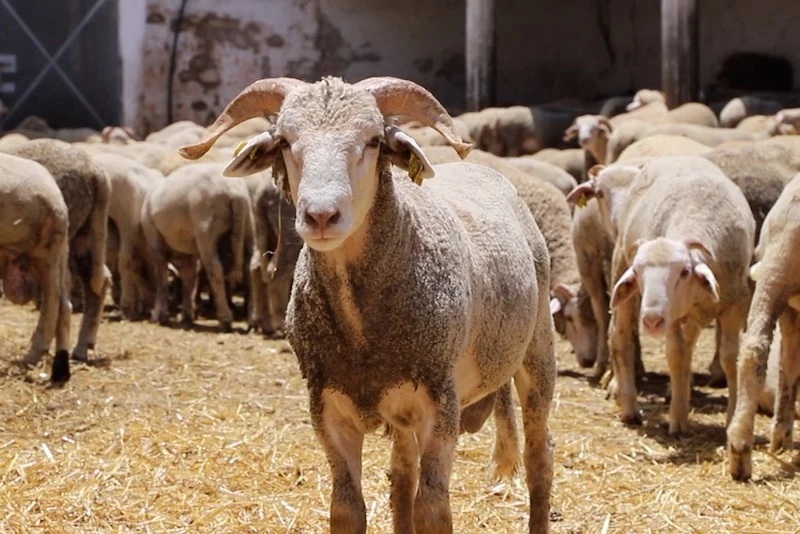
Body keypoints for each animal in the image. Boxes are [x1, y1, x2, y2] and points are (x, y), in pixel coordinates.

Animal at [2, 139, 111, 363]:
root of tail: (96, 170)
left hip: (63, 234)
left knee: (63, 287)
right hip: (85, 232)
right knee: (97, 280)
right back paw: (82, 348)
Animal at [92, 153, 165, 320]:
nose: (150, 302)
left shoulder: (126, 226)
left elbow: (127, 262)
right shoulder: (127, 224)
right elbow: (126, 262)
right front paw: (129, 304)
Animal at [140, 162, 254, 332]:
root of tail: (235, 193)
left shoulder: (154, 236)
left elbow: (161, 276)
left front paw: (159, 316)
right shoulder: (186, 246)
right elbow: (188, 276)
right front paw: (187, 317)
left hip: (206, 225)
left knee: (215, 269)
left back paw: (225, 319)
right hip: (247, 222)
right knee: (249, 267)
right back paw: (253, 320)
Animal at [178, 76, 556, 533]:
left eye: (374, 140)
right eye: (284, 141)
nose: (321, 216)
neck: (362, 332)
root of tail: (478, 168)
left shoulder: (440, 405)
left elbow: (434, 510)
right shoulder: (328, 407)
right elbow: (347, 508)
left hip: (537, 352)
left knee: (539, 458)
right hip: (403, 408)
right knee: (402, 477)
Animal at [571, 156, 754, 435]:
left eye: (685, 271)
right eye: (638, 272)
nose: (651, 320)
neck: (696, 213)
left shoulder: (736, 303)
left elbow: (730, 357)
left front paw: (732, 418)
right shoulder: (671, 315)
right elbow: (675, 355)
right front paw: (678, 419)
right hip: (619, 264)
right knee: (620, 335)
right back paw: (629, 407)